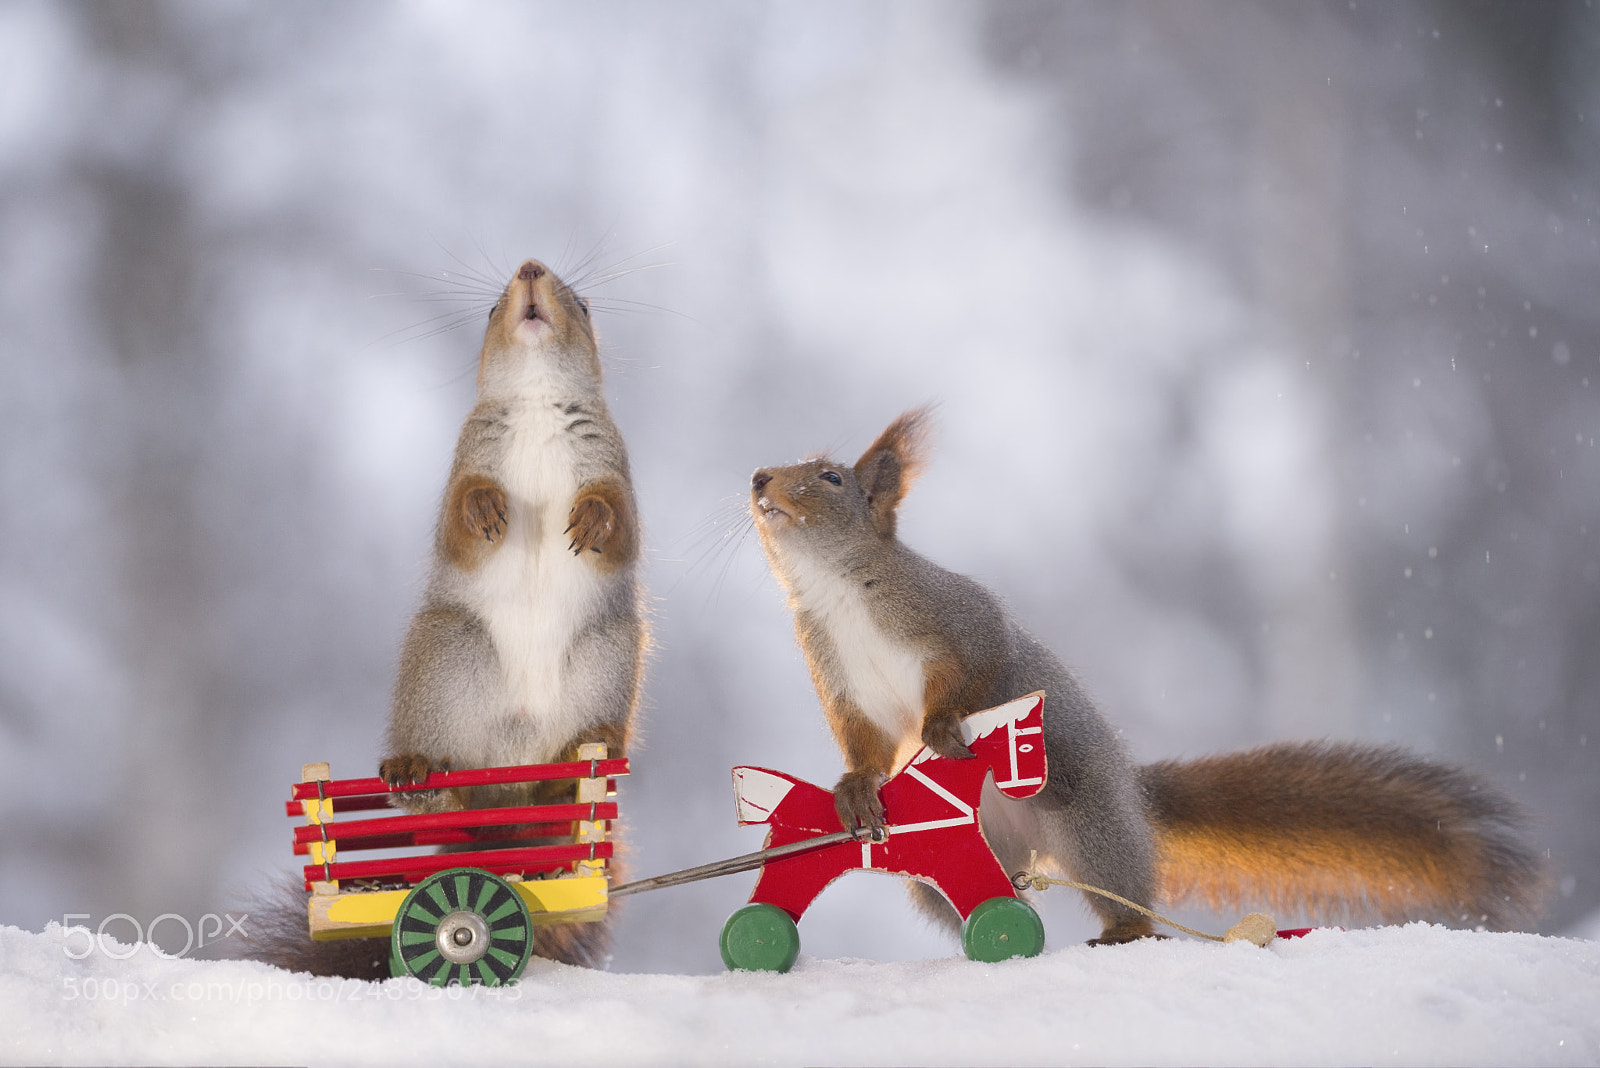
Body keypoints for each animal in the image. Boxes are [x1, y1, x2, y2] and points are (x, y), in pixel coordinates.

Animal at [252, 259, 646, 979]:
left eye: (582, 303)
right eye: (491, 308)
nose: (529, 268)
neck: (538, 400)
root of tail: (509, 776)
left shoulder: (615, 464)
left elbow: (620, 527)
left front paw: (594, 519)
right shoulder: (466, 461)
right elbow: (459, 527)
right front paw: (486, 507)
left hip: (607, 655)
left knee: (567, 781)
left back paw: (586, 752)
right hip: (446, 657)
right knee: (441, 806)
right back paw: (419, 777)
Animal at [748, 408, 1546, 944]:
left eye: (831, 477)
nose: (758, 476)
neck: (836, 590)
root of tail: (1131, 796)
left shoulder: (957, 617)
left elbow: (979, 670)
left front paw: (943, 728)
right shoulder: (833, 671)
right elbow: (863, 740)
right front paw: (856, 789)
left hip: (1089, 816)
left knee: (1125, 897)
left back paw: (1121, 928)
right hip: (953, 861)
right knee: (974, 894)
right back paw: (1011, 913)